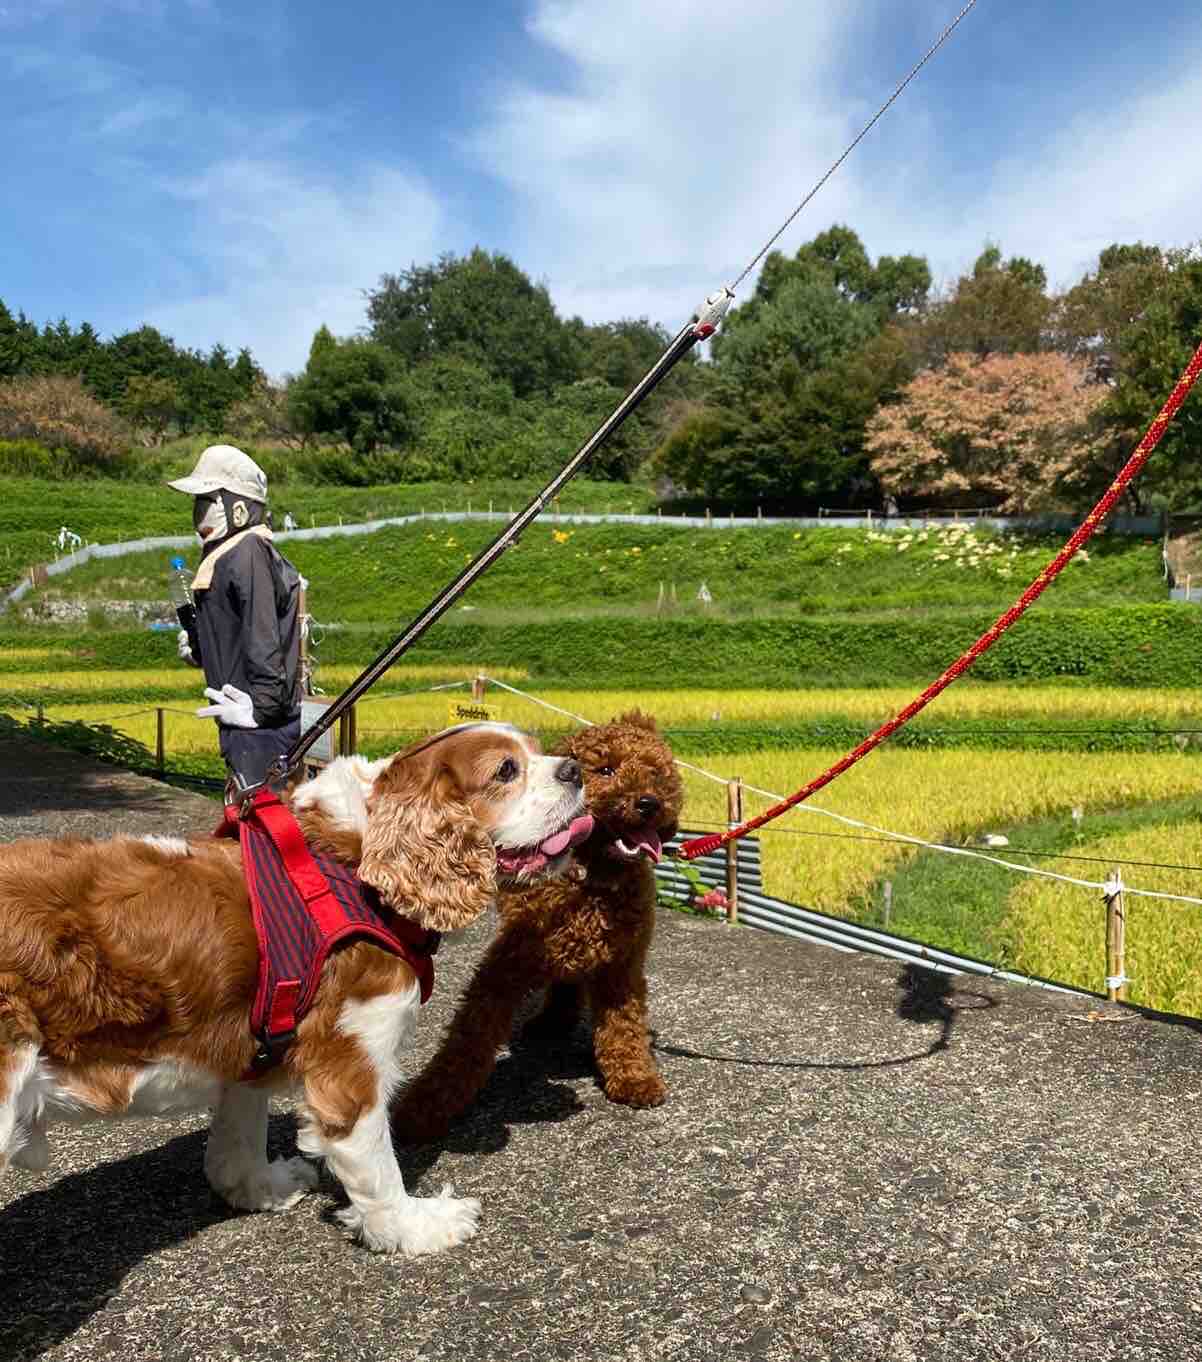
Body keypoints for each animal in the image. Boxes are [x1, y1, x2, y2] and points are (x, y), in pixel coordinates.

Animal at [0, 724, 588, 1253]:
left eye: (538, 749)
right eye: (506, 770)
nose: (575, 769)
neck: (357, 862)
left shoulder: (251, 1046)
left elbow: (236, 1140)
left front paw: (260, 1188)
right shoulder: (350, 1064)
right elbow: (378, 1168)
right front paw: (415, 1227)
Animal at [389, 708, 680, 1144]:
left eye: (657, 774)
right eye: (606, 769)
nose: (649, 802)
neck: (590, 880)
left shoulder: (621, 966)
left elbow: (624, 1026)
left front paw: (634, 1077)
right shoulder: (505, 967)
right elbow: (466, 1041)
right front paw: (426, 1107)